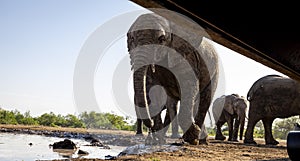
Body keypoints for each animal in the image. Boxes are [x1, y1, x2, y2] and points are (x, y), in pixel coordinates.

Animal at [126, 11, 218, 145]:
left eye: (161, 39)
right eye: (131, 39)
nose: (150, 123)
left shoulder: (186, 57)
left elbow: (188, 85)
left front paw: (192, 138)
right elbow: (153, 88)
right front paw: (159, 141)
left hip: (215, 72)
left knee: (204, 100)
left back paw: (199, 140)